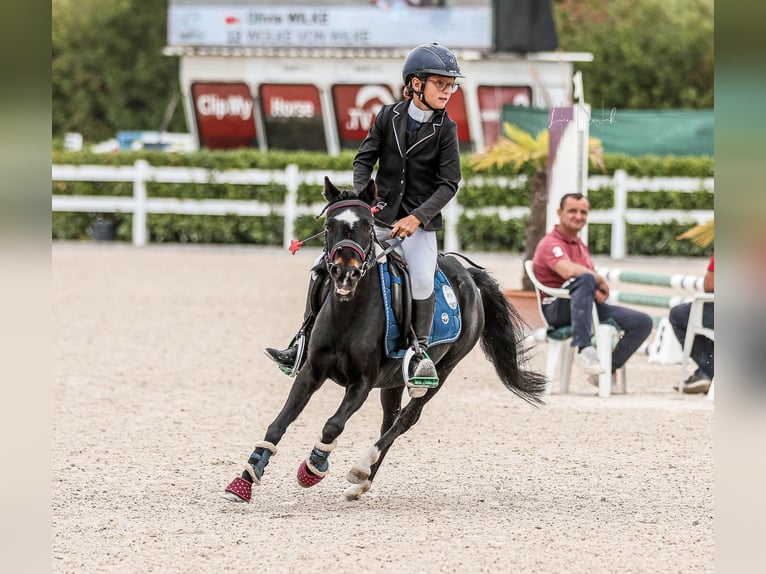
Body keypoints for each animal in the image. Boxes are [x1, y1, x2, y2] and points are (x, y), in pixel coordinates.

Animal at [222, 177, 544, 504]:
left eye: (367, 225)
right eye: (329, 226)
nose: (345, 273)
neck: (348, 313)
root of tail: (466, 274)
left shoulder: (362, 382)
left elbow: (333, 425)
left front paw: (313, 468)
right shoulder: (312, 372)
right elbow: (278, 424)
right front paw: (245, 479)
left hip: (441, 372)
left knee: (406, 419)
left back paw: (361, 468)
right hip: (393, 381)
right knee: (390, 419)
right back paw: (361, 483)